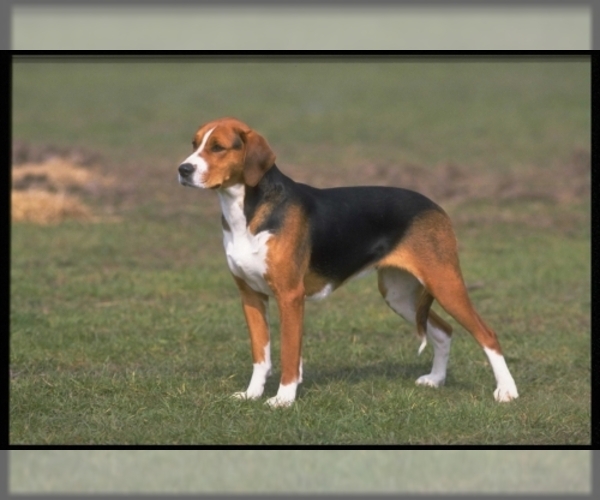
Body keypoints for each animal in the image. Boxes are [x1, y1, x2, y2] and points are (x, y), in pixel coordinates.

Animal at [176, 119, 516, 408]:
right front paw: (251, 394)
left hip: (444, 284)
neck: (247, 210)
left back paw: (507, 391)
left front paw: (283, 399)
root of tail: (435, 205)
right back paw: (435, 379)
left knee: (488, 335)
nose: (183, 169)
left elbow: (288, 354)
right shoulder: (251, 296)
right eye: (194, 143)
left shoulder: (290, 297)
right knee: (443, 331)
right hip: (399, 295)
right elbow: (261, 355)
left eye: (218, 147)